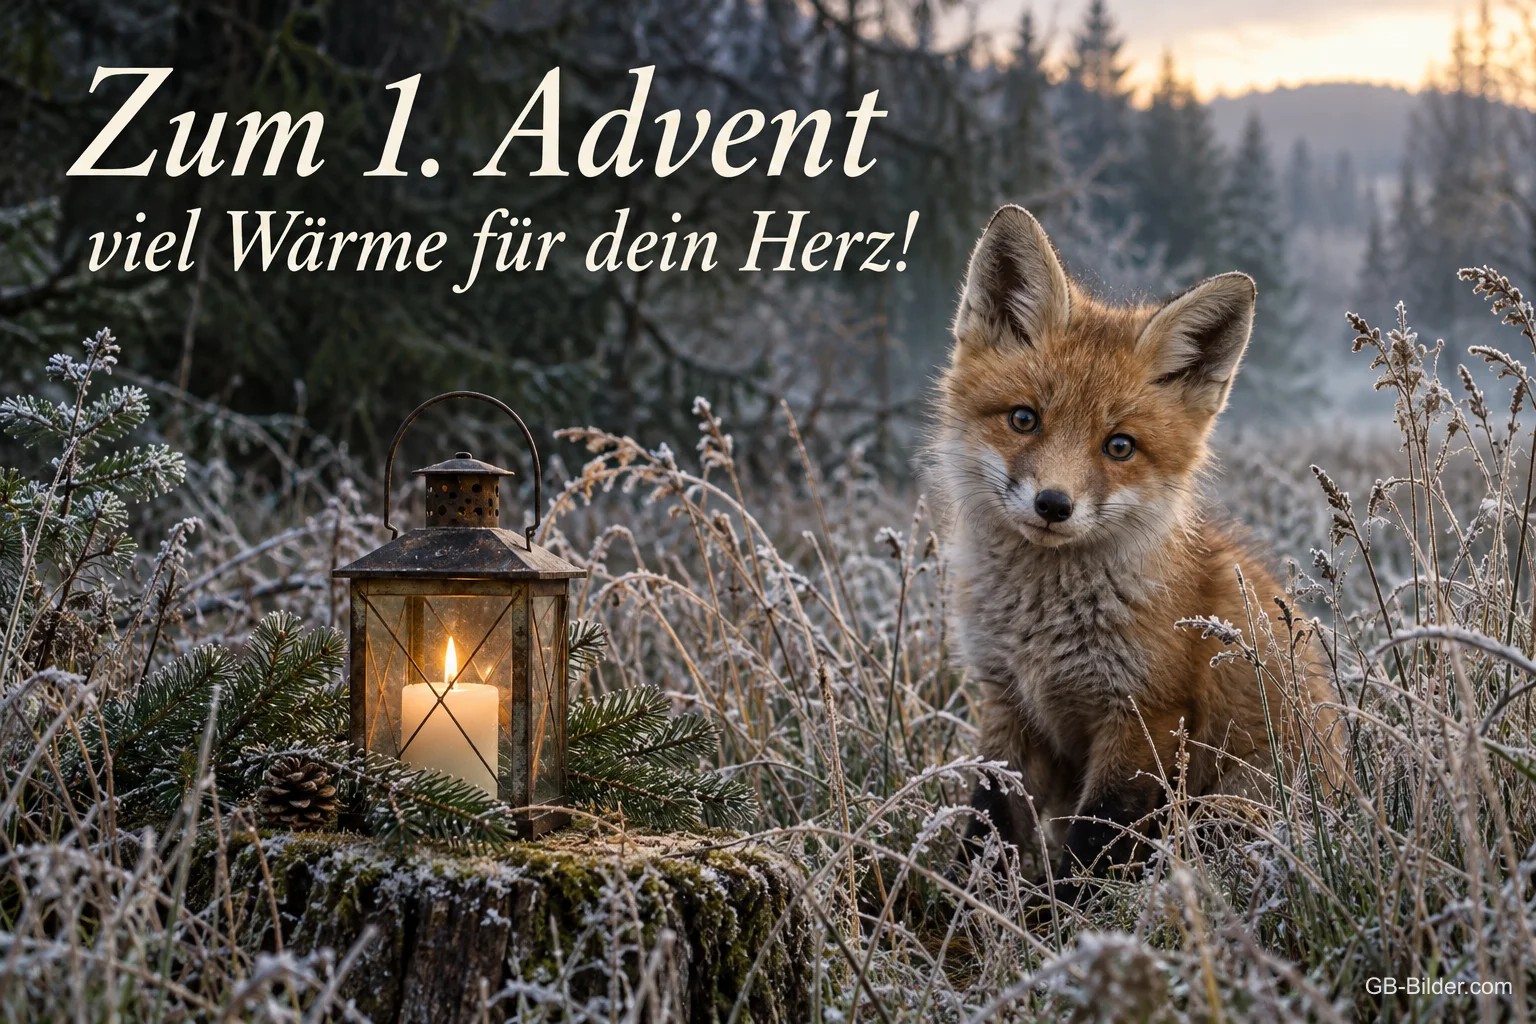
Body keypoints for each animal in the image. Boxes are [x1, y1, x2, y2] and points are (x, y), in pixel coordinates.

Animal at [927, 205, 1344, 894]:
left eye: (1119, 446)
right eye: (1023, 419)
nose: (1053, 504)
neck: (1042, 631)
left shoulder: (1144, 719)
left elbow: (1093, 850)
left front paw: (1060, 919)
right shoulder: (1007, 704)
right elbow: (987, 829)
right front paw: (966, 906)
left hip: (1230, 809)